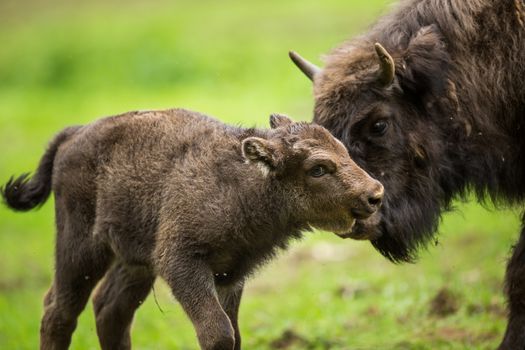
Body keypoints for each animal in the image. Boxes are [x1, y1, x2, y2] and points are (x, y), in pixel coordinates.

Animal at [2, 108, 382, 348]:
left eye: (343, 150)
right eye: (317, 168)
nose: (374, 194)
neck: (245, 183)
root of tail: (74, 133)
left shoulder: (230, 275)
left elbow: (234, 333)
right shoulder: (182, 263)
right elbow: (219, 333)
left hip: (135, 262)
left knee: (110, 311)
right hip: (80, 247)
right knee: (59, 311)